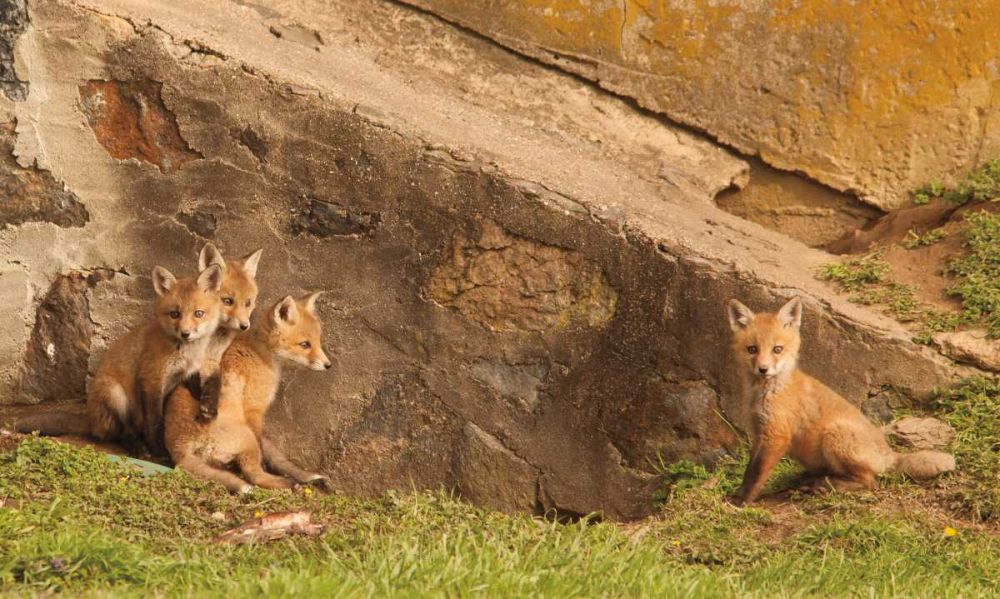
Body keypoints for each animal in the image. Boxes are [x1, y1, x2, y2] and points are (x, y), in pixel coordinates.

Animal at [164, 293, 333, 493]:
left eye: (318, 341)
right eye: (305, 344)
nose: (328, 365)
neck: (259, 352)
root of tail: (180, 450)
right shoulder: (254, 409)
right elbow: (262, 456)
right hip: (247, 439)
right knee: (254, 474)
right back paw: (288, 484)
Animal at [726, 296, 955, 506]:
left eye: (777, 349)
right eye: (752, 349)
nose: (763, 369)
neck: (766, 393)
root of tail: (888, 453)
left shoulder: (776, 436)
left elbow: (756, 474)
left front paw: (741, 502)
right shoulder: (759, 433)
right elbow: (749, 471)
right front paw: (738, 496)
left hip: (834, 435)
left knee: (870, 482)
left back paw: (826, 486)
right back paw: (811, 480)